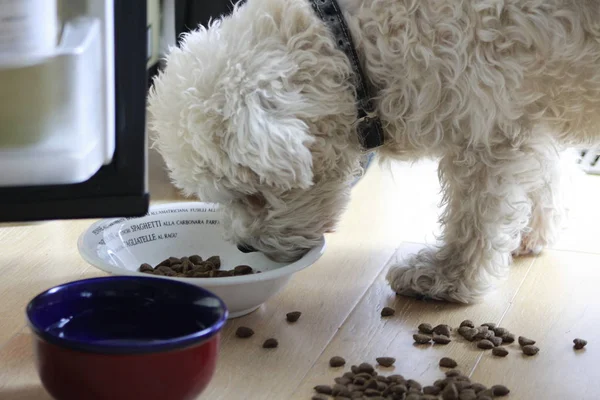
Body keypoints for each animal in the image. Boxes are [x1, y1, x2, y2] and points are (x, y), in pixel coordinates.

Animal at [146, 0, 600, 302]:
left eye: (255, 196)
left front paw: (448, 278)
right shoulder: (525, 105)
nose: (244, 248)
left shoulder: (487, 126)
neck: (351, 42)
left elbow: (474, 218)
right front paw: (531, 233)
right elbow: (545, 175)